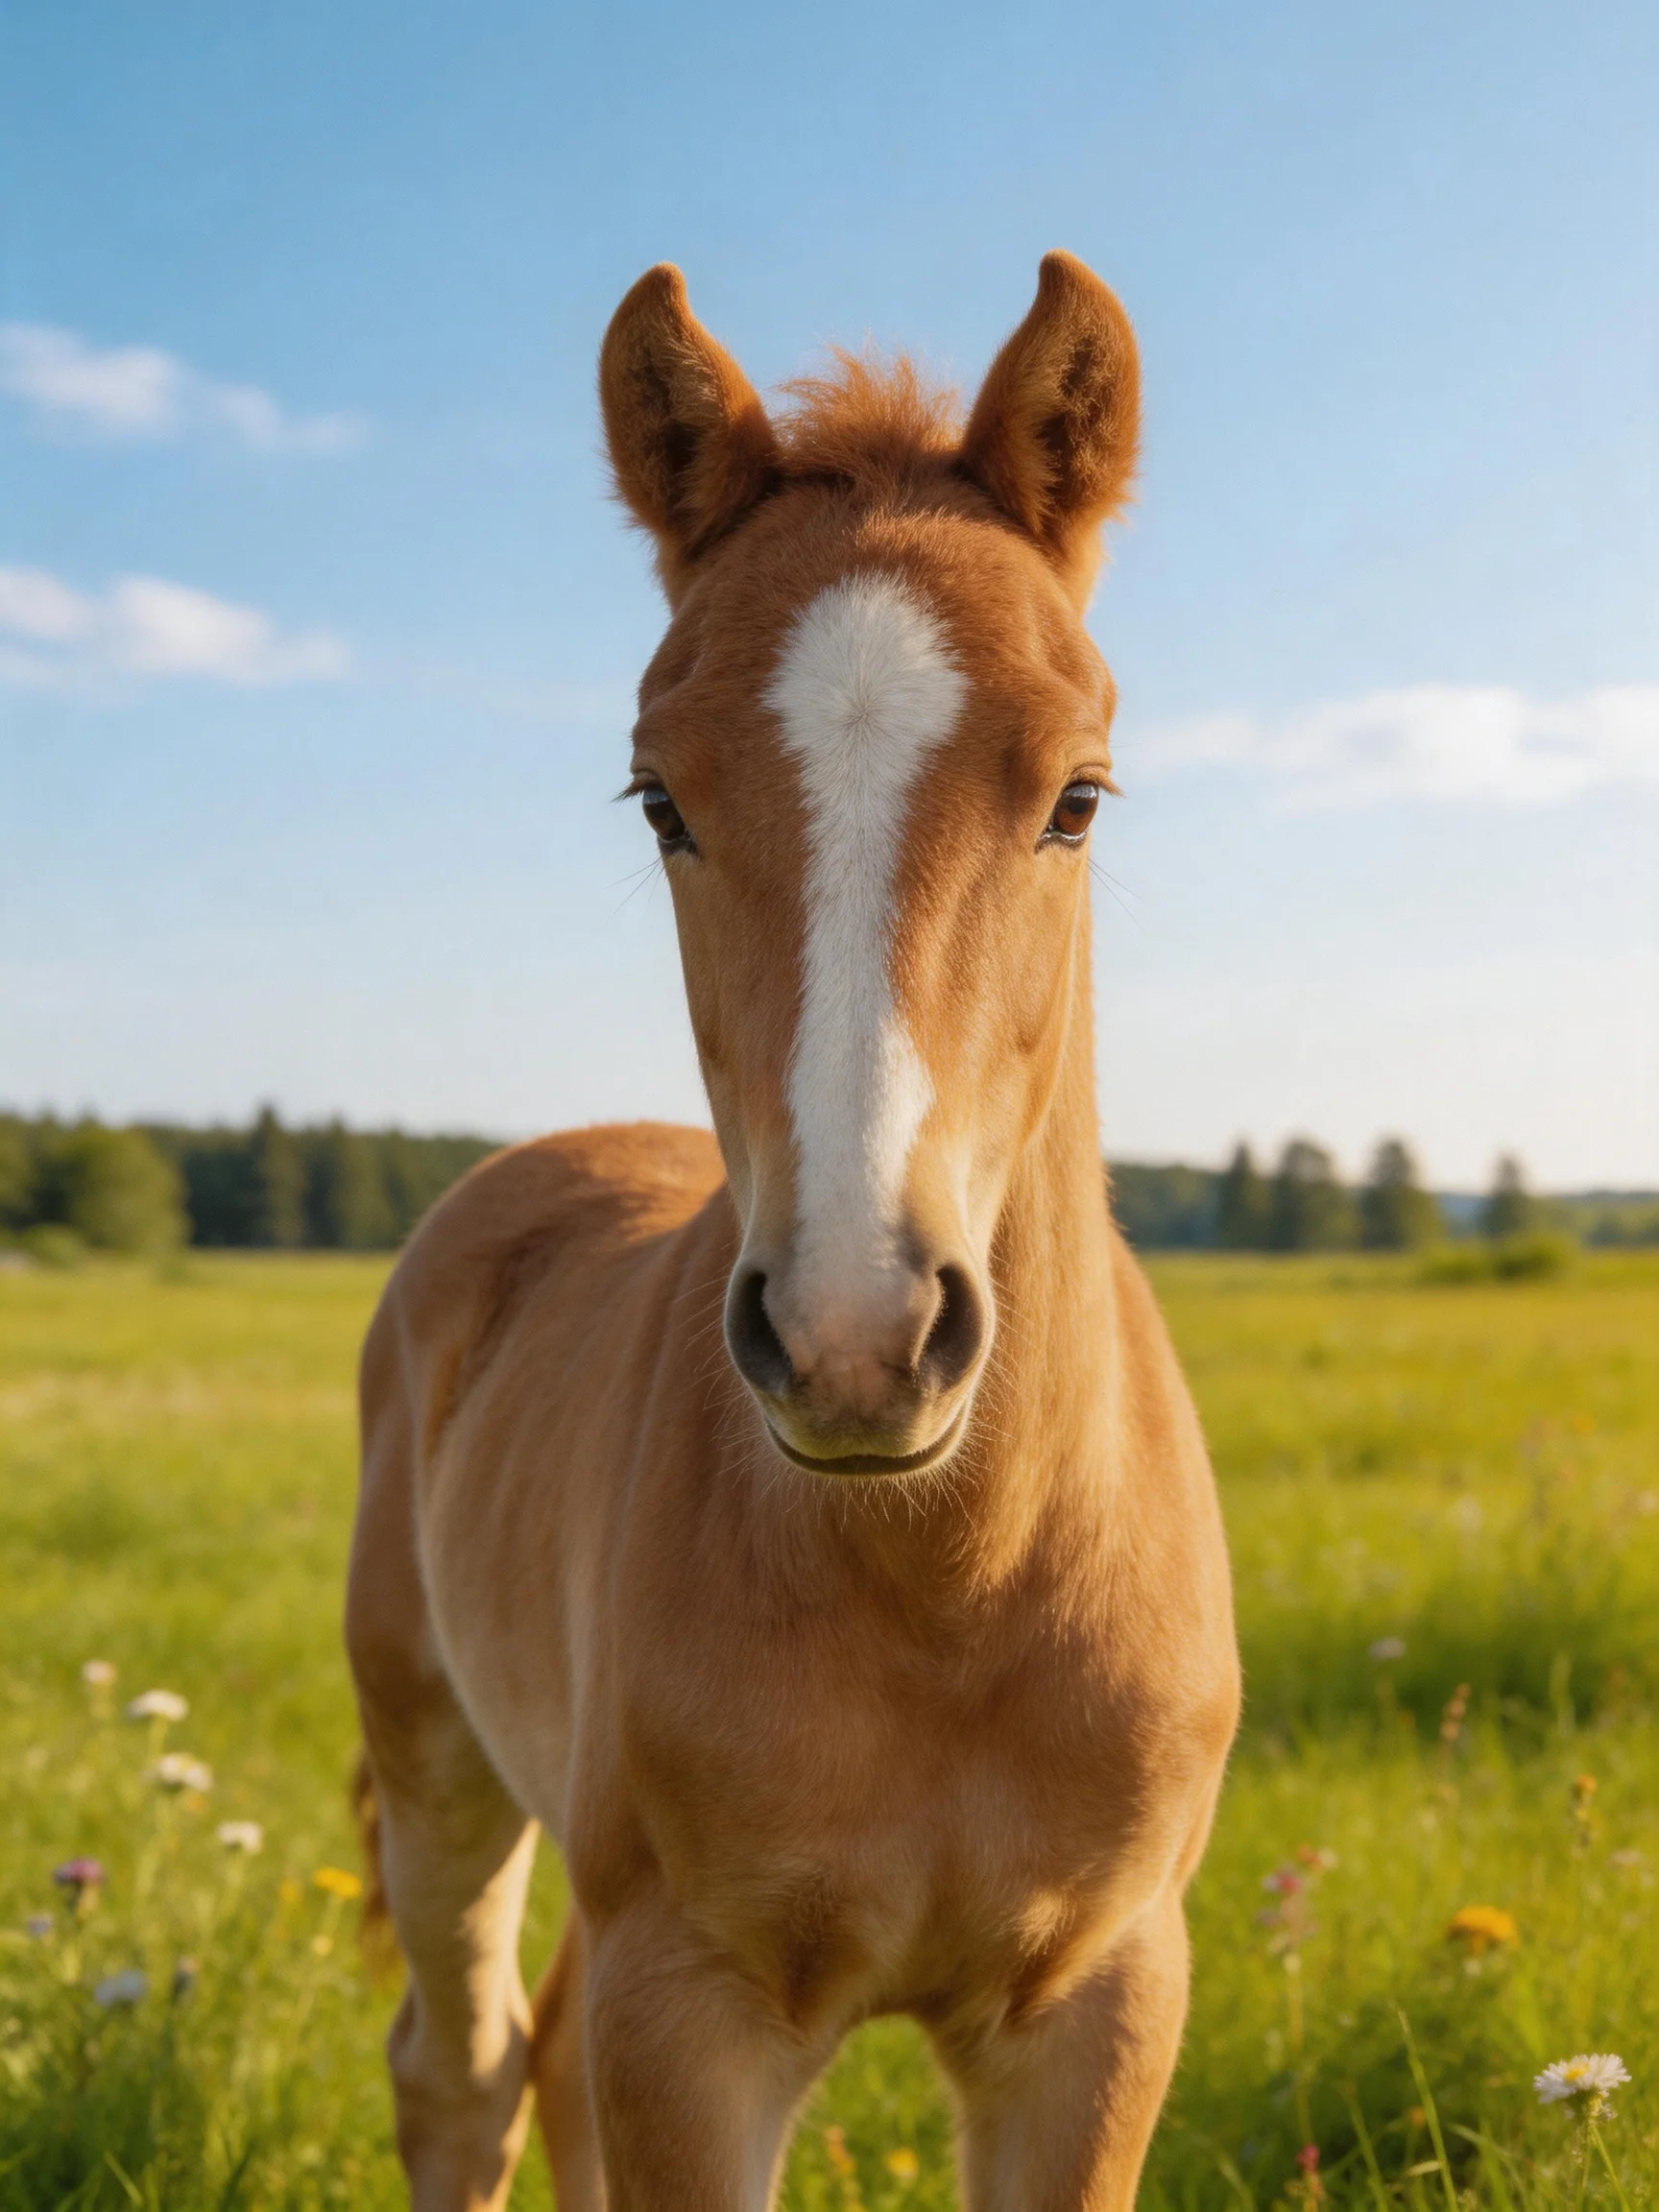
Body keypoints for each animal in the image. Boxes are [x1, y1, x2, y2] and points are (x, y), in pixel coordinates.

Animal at [347, 250, 1239, 2212]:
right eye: (659, 796)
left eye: (1077, 794)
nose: (856, 1335)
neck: (948, 1583)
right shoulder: (697, 2007)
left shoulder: (1106, 2000)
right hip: (440, 1759)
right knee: (462, 2068)